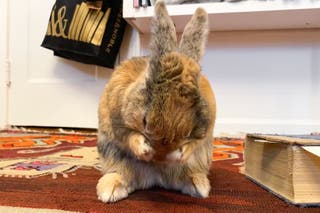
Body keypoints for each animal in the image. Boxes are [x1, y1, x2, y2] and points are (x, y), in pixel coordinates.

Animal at [96, 0, 216, 203]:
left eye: (188, 131)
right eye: (144, 121)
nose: (160, 157)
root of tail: (156, 179)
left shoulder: (205, 130)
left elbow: (194, 143)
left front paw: (180, 154)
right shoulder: (117, 121)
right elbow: (130, 136)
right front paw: (145, 150)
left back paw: (199, 186)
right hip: (111, 152)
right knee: (121, 172)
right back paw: (109, 191)